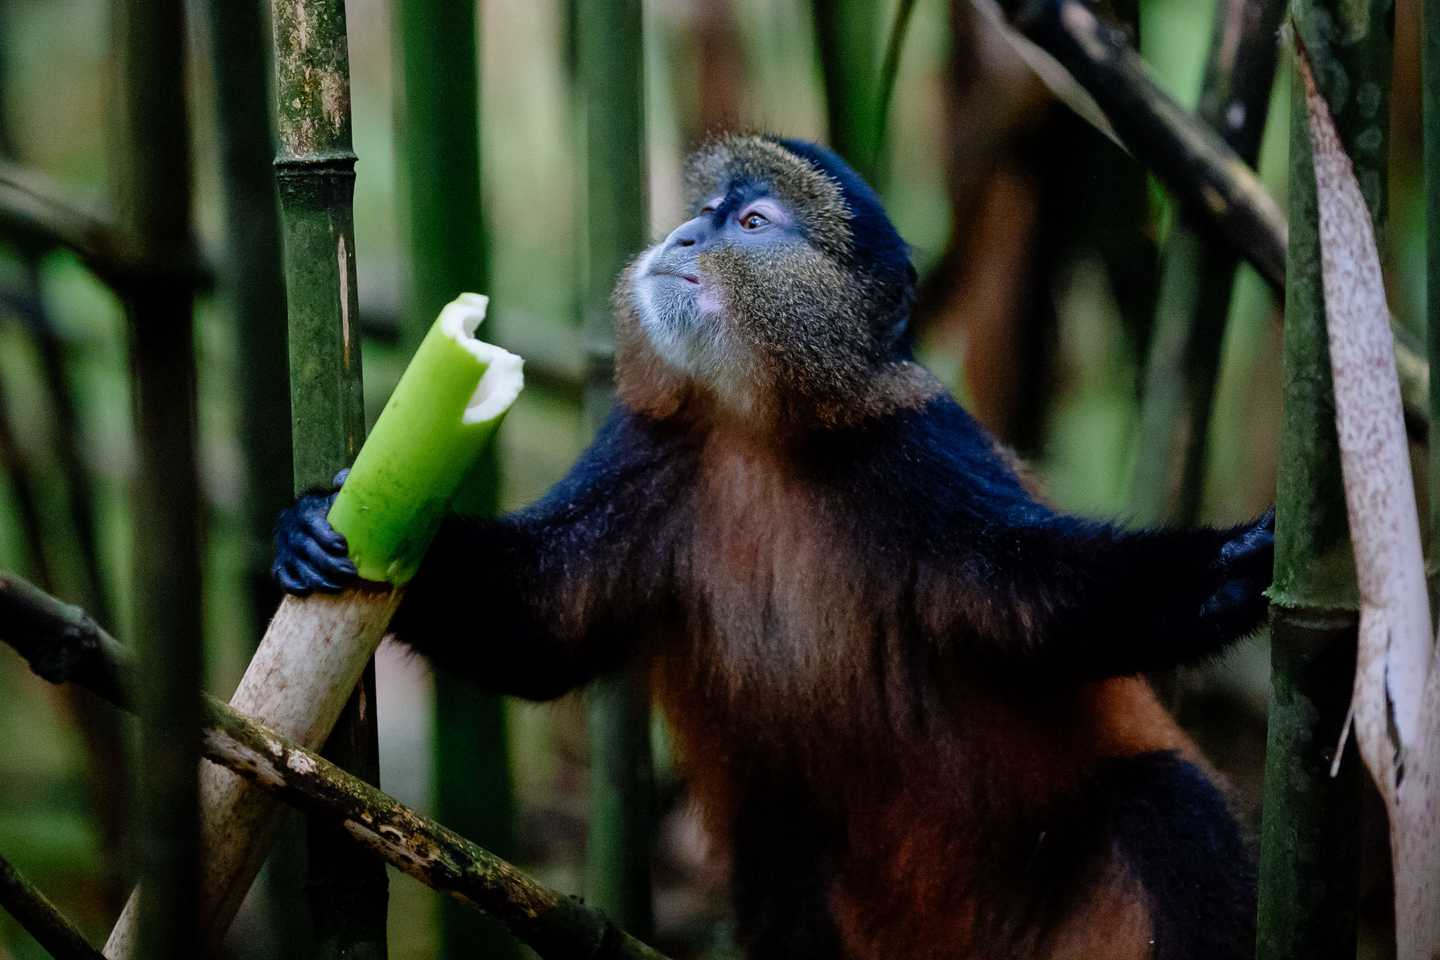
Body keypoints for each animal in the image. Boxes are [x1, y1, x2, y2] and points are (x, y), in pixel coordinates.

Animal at [273, 134, 1273, 960]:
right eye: (707, 211)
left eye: (752, 224)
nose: (682, 238)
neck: (763, 434)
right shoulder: (649, 452)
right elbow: (541, 623)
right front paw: (313, 529)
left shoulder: (923, 456)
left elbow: (1046, 599)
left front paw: (1242, 566)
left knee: (1168, 807)